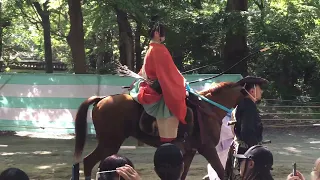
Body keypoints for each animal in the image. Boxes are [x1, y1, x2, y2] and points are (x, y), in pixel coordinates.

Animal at [74, 82, 244, 180]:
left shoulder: (189, 152)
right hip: (110, 142)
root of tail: (102, 99)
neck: (208, 108)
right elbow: (221, 172)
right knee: (88, 161)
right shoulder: (207, 149)